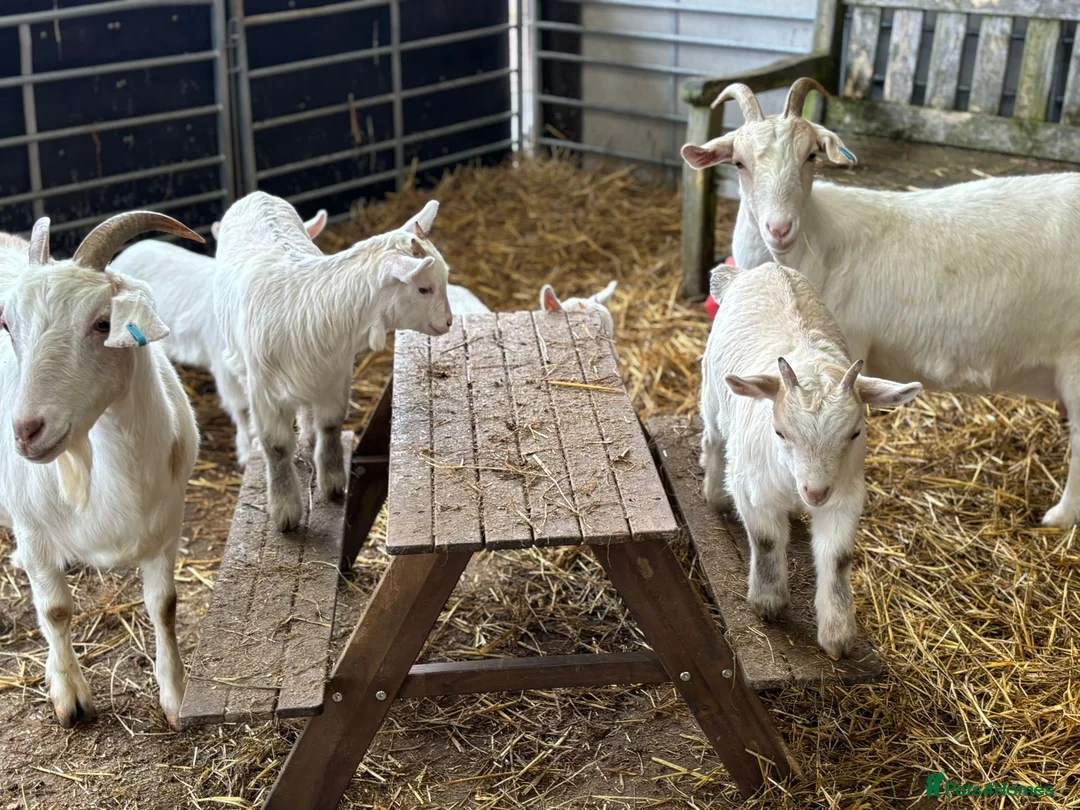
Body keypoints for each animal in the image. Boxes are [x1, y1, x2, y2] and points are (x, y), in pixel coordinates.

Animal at [0, 212, 202, 728]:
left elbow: (164, 606)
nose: (26, 431)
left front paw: (175, 696)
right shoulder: (32, 526)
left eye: (103, 323)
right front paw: (70, 698)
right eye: (7, 324)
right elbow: (54, 610)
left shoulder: (168, 525)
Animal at [214, 191, 452, 531]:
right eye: (423, 288)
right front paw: (286, 510)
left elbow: (330, 424)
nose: (448, 322)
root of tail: (257, 195)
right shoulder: (264, 389)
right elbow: (277, 445)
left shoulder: (336, 374)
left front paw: (334, 482)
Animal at [683, 77, 1080, 528]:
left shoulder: (844, 349)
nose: (779, 228)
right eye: (739, 163)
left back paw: (1060, 516)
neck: (814, 240)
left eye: (810, 156)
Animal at [702, 261, 920, 658]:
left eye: (855, 433)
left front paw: (838, 635)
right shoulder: (753, 488)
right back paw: (715, 495)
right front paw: (768, 603)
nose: (815, 492)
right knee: (712, 437)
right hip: (711, 392)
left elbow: (837, 557)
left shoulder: (845, 495)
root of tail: (758, 269)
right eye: (779, 432)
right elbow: (766, 539)